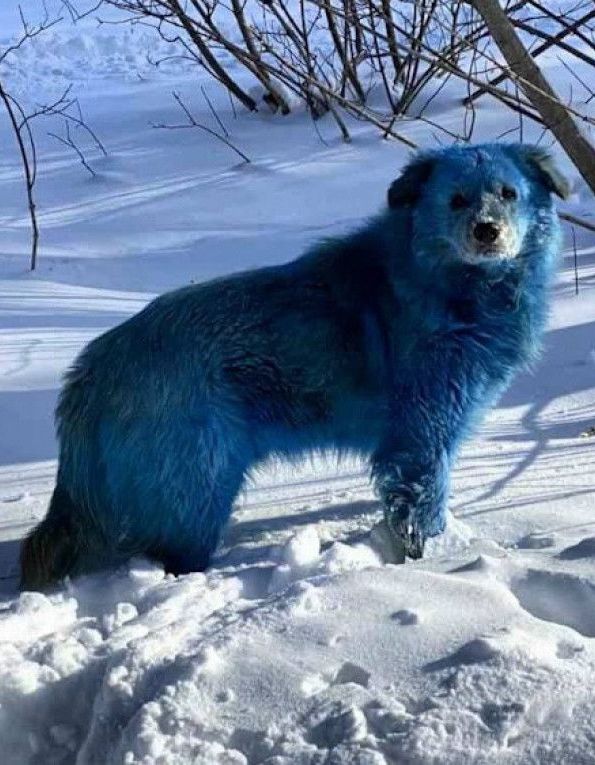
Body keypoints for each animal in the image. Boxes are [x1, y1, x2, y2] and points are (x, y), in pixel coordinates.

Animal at [21, 142, 568, 584]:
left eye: (508, 193)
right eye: (456, 199)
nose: (487, 232)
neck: (444, 283)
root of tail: (92, 370)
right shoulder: (421, 437)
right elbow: (421, 505)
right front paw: (432, 561)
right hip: (200, 486)